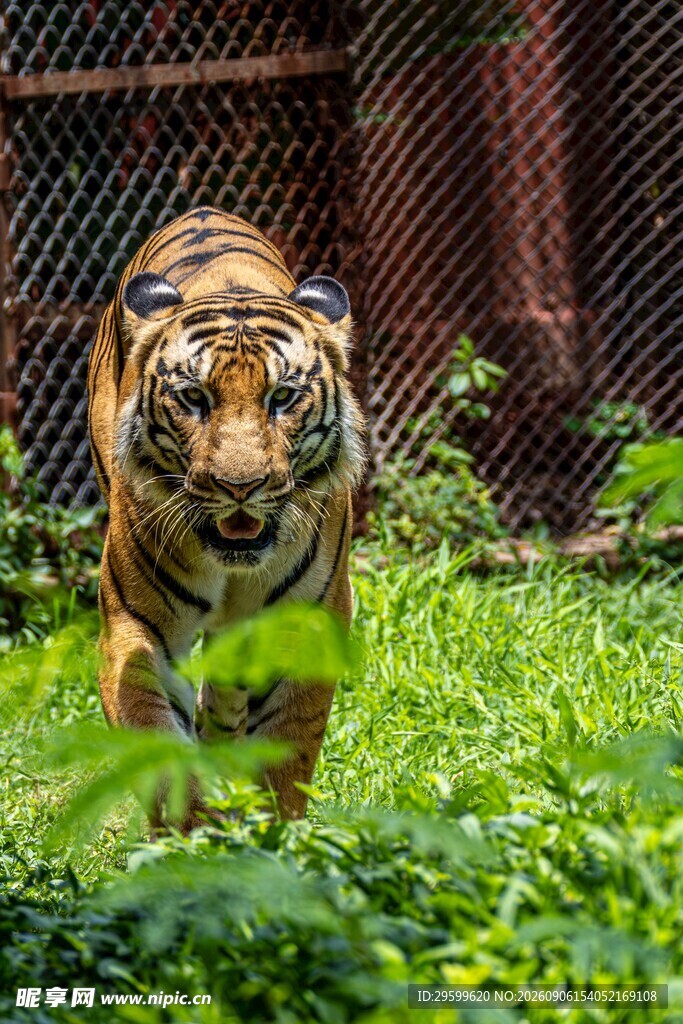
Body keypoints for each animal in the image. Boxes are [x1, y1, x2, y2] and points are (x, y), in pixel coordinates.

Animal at [87, 205, 365, 832]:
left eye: (282, 397)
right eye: (194, 398)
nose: (240, 487)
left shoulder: (306, 623)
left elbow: (286, 752)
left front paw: (274, 838)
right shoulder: (134, 628)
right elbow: (159, 746)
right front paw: (191, 838)